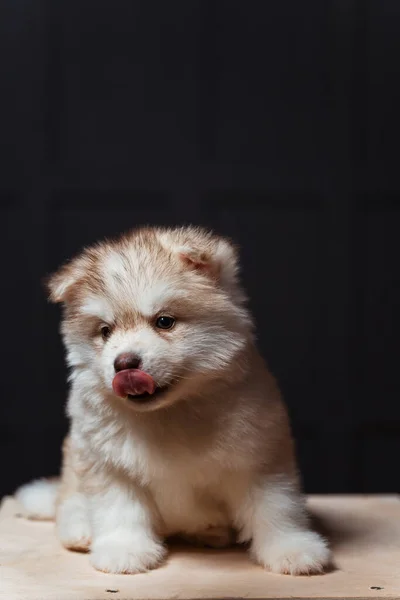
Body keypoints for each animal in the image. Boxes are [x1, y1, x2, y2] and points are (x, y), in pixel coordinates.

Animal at [16, 226, 332, 576]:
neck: (168, 411)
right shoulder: (107, 464)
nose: (124, 364)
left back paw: (211, 532)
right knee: (68, 502)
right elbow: (119, 509)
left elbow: (276, 508)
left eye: (164, 321)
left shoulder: (259, 457)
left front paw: (292, 548)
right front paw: (124, 549)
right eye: (105, 331)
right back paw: (81, 529)